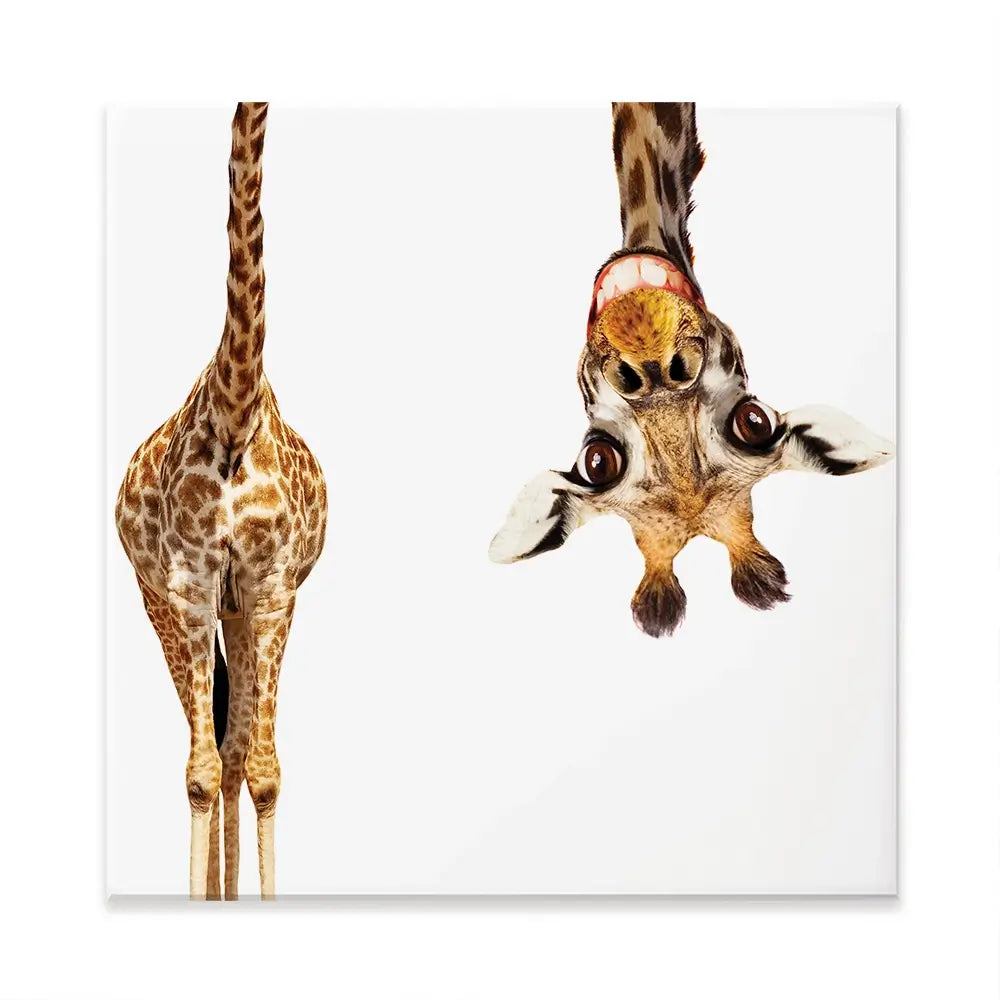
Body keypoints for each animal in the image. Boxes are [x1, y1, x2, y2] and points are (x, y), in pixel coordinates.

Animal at [115, 102, 327, 899]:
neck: (236, 411)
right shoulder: (189, 585)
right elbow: (200, 773)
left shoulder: (269, 588)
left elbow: (260, 771)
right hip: (161, 603)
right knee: (205, 747)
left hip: (243, 612)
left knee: (235, 752)